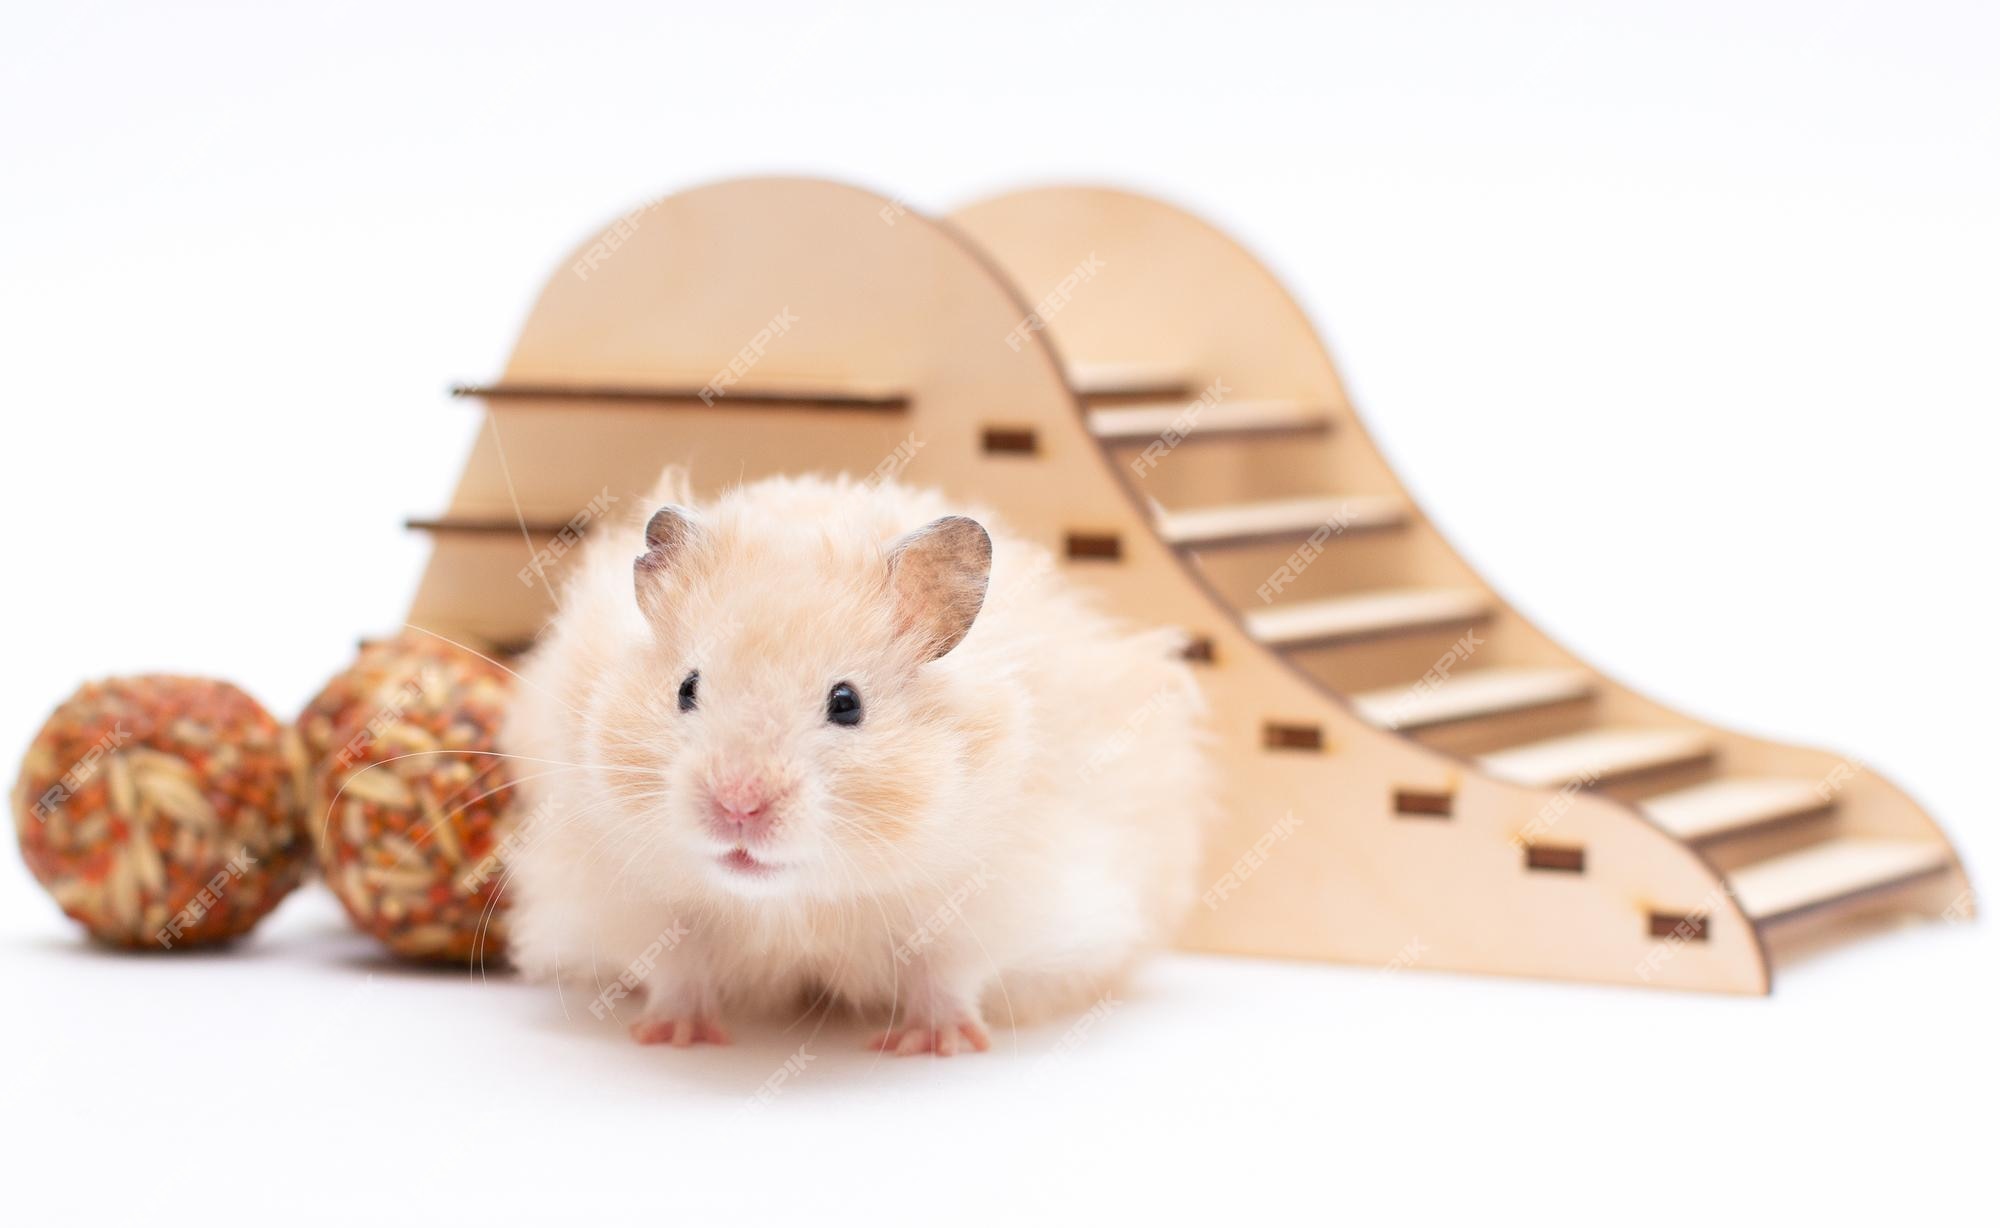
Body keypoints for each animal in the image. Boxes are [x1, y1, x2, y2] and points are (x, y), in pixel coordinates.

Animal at [508, 472, 1208, 1056]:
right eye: (686, 688)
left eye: (846, 704)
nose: (737, 805)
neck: (792, 901)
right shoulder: (634, 899)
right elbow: (676, 967)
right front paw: (673, 1035)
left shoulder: (995, 898)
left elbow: (946, 974)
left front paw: (936, 1045)